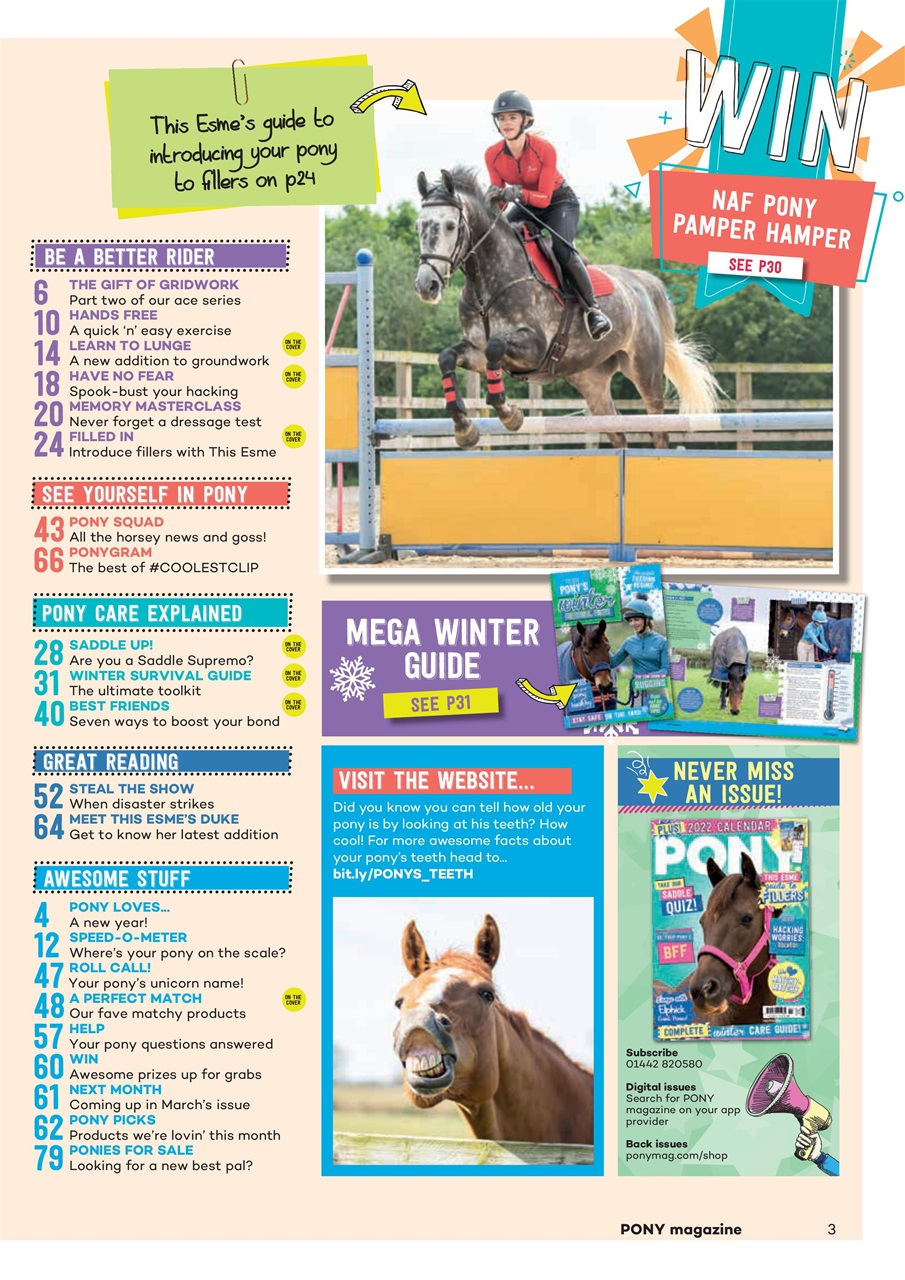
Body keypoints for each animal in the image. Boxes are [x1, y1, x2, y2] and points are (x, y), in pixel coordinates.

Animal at [414, 167, 721, 450]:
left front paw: (508, 413)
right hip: (592, 383)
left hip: (646, 373)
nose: (426, 285)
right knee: (617, 432)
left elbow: (496, 347)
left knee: (658, 430)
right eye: (419, 226)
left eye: (450, 226)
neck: (487, 284)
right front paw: (464, 427)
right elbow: (447, 357)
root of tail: (641, 282)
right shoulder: (475, 350)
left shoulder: (533, 348)